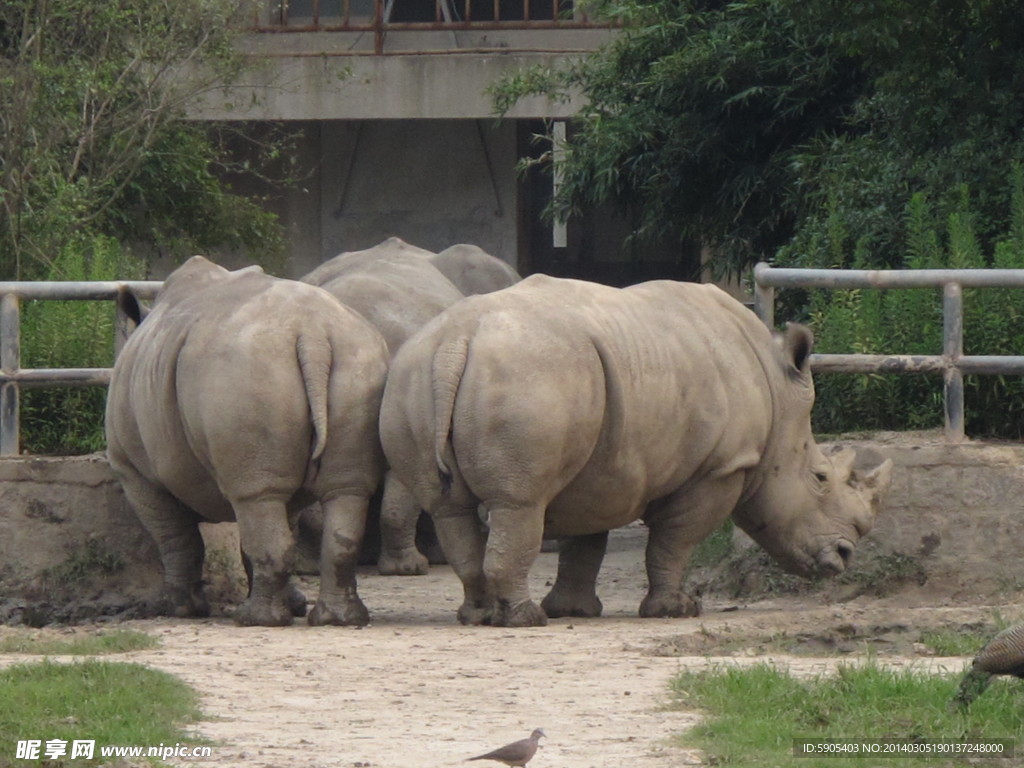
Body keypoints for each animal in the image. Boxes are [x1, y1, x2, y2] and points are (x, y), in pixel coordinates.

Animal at [107, 256, 387, 626]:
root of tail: (312, 333)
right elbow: (268, 526)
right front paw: (295, 604)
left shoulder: (133, 472)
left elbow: (176, 539)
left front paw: (176, 608)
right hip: (356, 360)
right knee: (344, 491)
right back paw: (337, 619)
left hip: (245, 369)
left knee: (257, 498)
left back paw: (255, 619)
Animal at [380, 274, 892, 626]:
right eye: (820, 478)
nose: (845, 555)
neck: (778, 397)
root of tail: (457, 341)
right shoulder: (720, 468)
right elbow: (674, 540)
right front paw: (676, 609)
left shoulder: (599, 467)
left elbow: (587, 539)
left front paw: (576, 611)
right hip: (529, 376)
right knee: (519, 504)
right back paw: (524, 620)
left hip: (415, 375)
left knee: (449, 508)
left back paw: (480, 616)